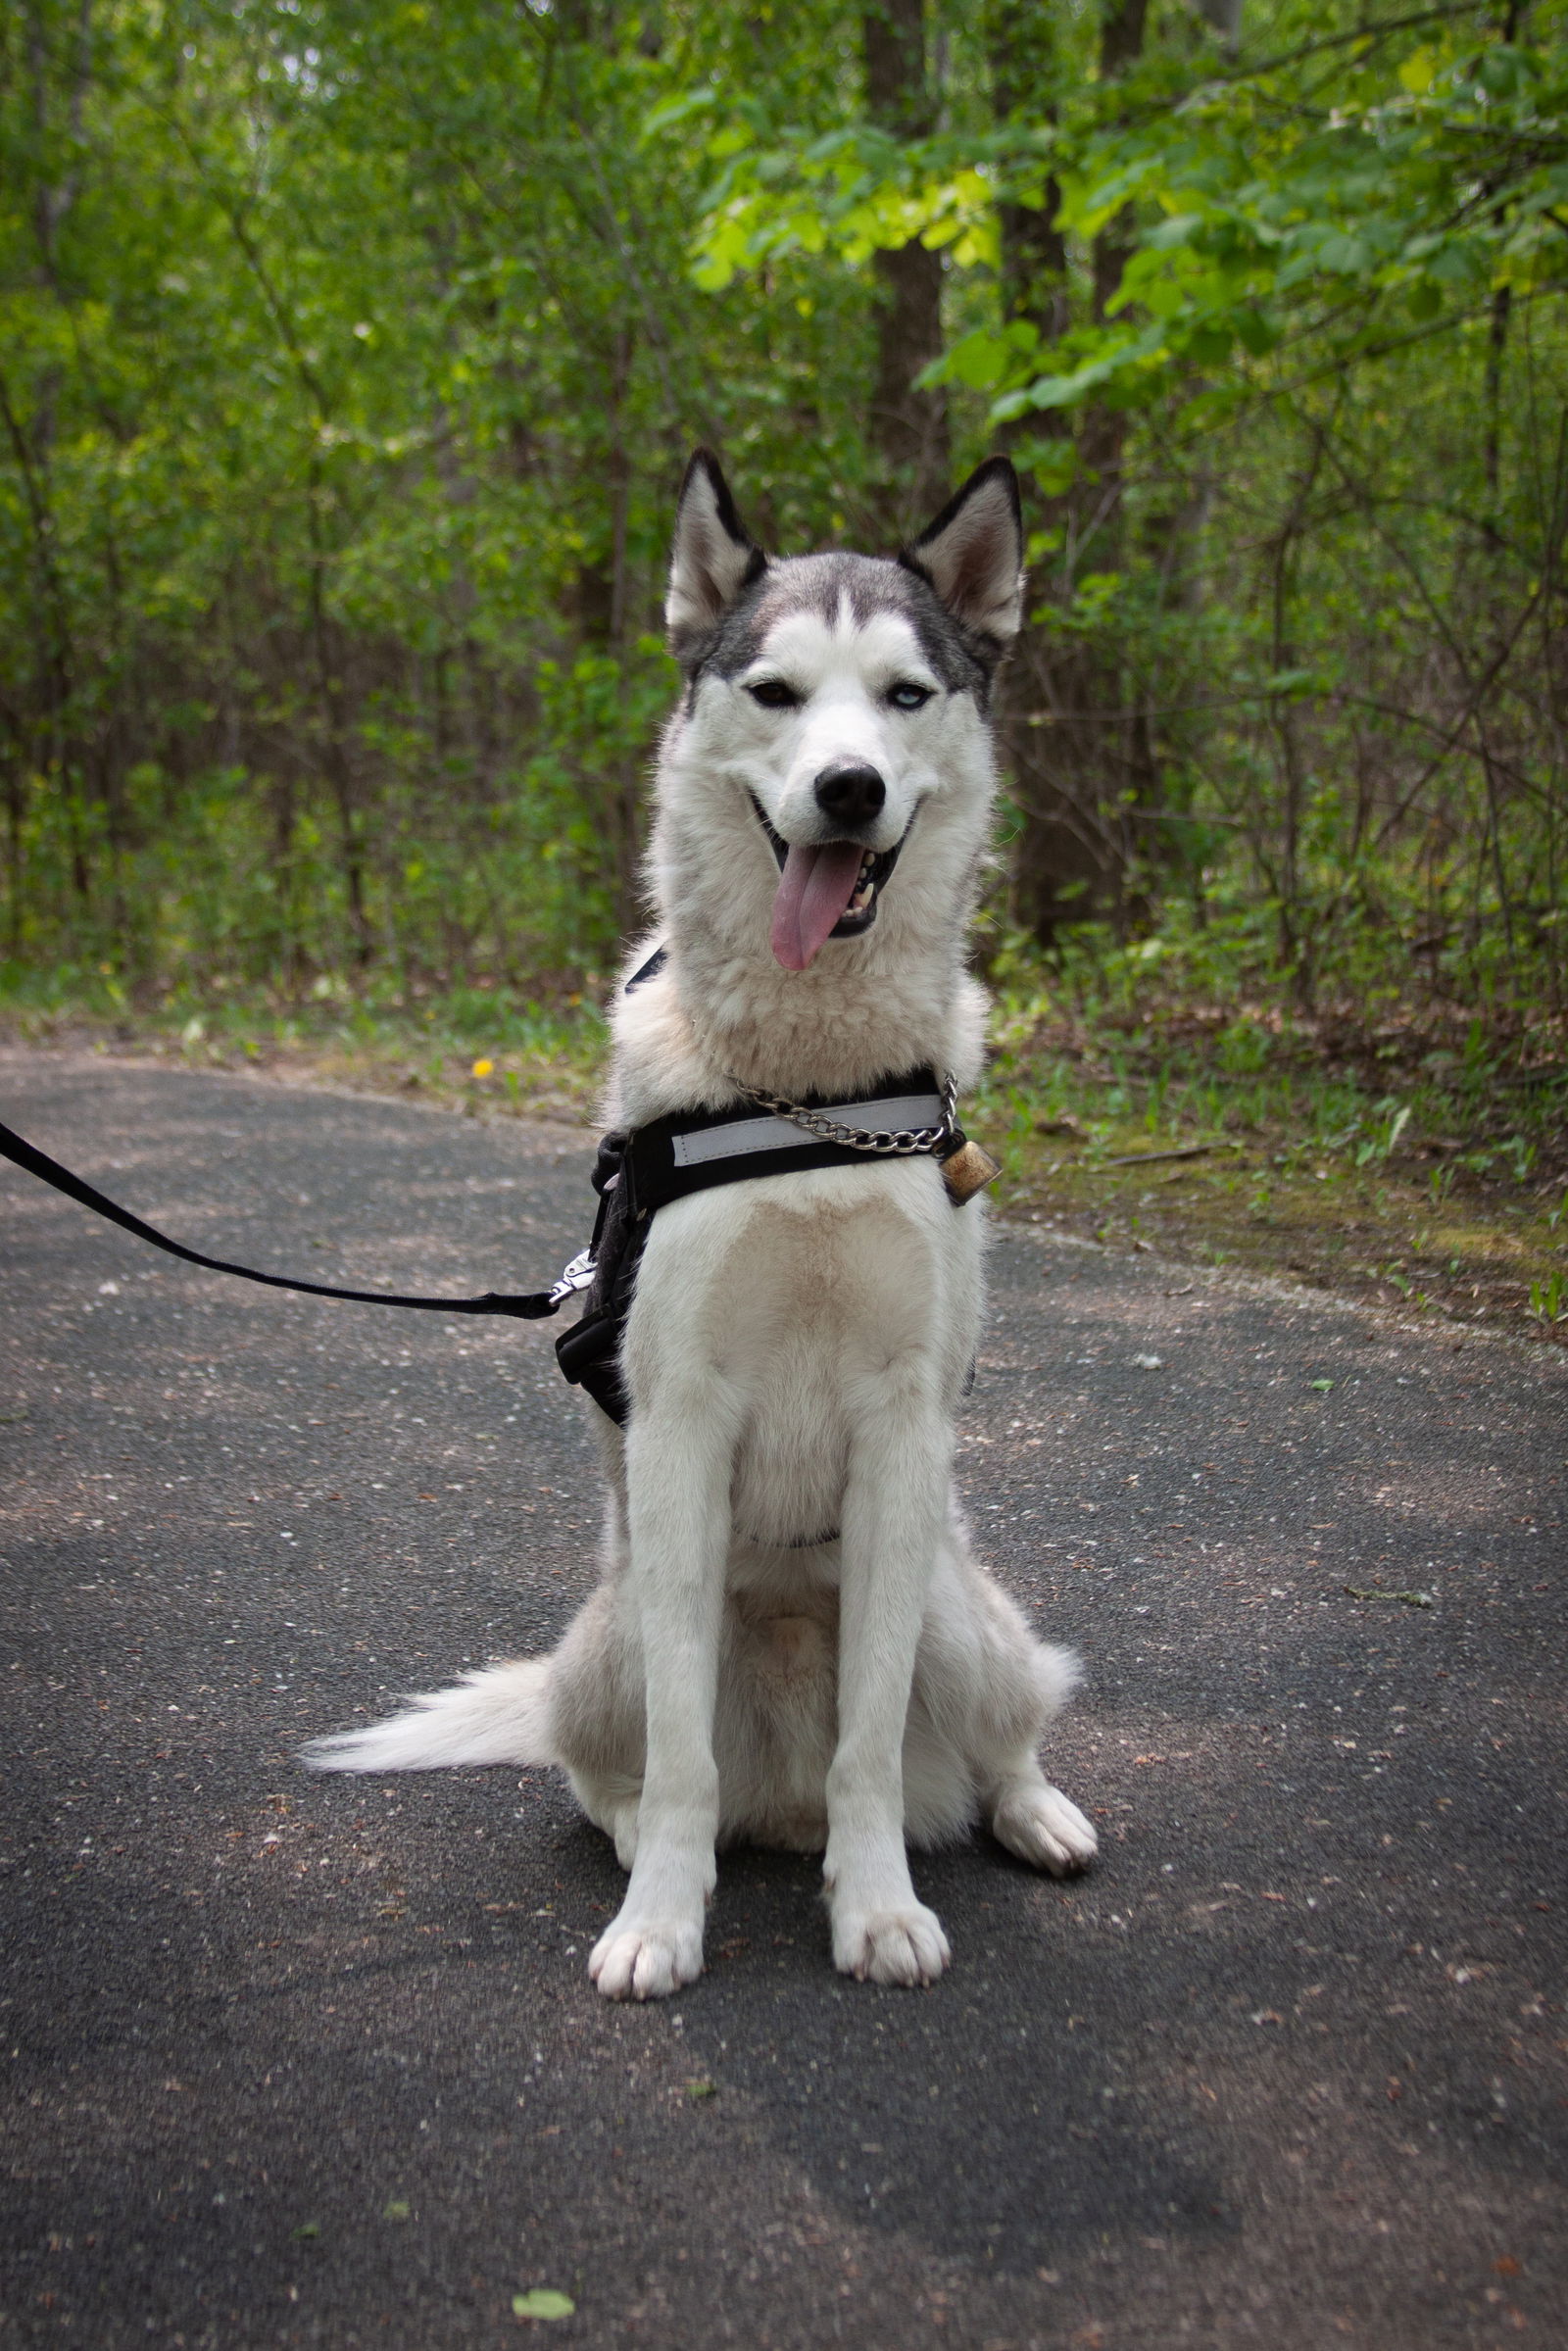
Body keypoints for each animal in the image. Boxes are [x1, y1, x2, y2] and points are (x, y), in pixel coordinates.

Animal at [303, 454, 1091, 2002]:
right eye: (777, 692)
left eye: (905, 694)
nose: (847, 786)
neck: (812, 1093)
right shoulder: (679, 1422)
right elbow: (676, 1766)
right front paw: (662, 1921)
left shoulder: (903, 1427)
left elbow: (867, 1748)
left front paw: (878, 1909)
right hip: (601, 1650)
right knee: (618, 1773)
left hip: (956, 1610)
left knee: (1001, 1728)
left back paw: (1032, 1814)